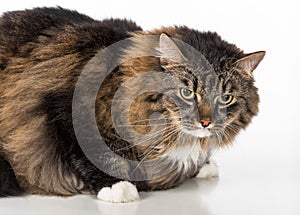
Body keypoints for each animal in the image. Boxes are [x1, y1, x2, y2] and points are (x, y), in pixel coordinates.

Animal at [0, 7, 264, 203]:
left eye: (225, 98)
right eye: (187, 93)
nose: (206, 122)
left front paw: (203, 166)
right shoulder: (63, 107)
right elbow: (93, 154)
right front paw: (117, 187)